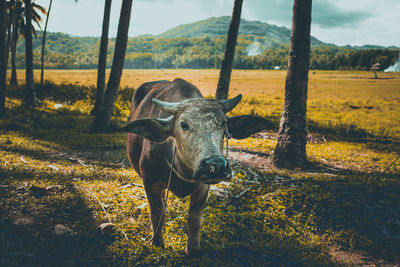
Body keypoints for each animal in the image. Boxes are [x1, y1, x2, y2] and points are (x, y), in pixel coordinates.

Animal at [125, 79, 276, 255]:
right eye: (184, 125)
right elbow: (157, 213)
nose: (215, 164)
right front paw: (157, 243)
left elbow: (194, 218)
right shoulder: (150, 181)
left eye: (223, 124)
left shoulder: (203, 186)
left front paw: (192, 249)